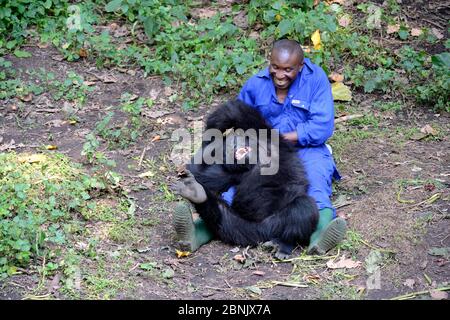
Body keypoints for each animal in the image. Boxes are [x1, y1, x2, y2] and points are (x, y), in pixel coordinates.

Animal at [173, 100, 320, 260]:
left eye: (233, 144)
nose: (232, 148)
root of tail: (263, 232)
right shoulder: (228, 173)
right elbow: (201, 174)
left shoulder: (269, 136)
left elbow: (238, 112)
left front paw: (211, 137)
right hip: (244, 227)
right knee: (226, 221)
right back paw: (196, 193)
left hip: (275, 222)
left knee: (304, 206)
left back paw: (284, 243)